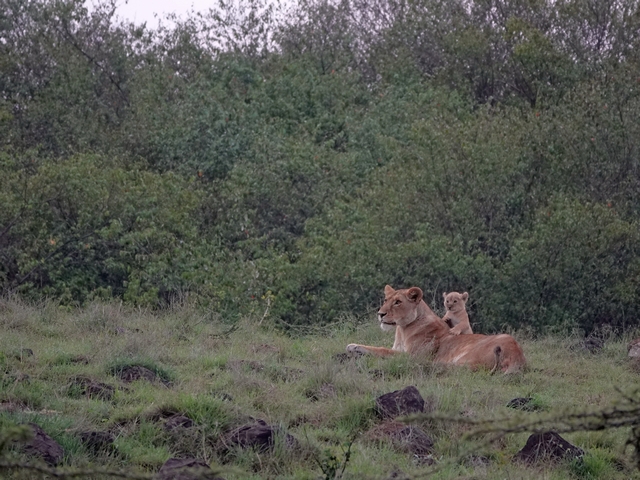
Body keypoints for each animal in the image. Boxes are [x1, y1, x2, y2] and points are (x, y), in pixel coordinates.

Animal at [346, 285, 526, 374]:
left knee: (465, 368)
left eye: (398, 302)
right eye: (386, 300)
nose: (380, 314)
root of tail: (518, 356)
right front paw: (354, 346)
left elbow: (383, 350)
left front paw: (353, 346)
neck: (401, 330)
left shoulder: (411, 356)